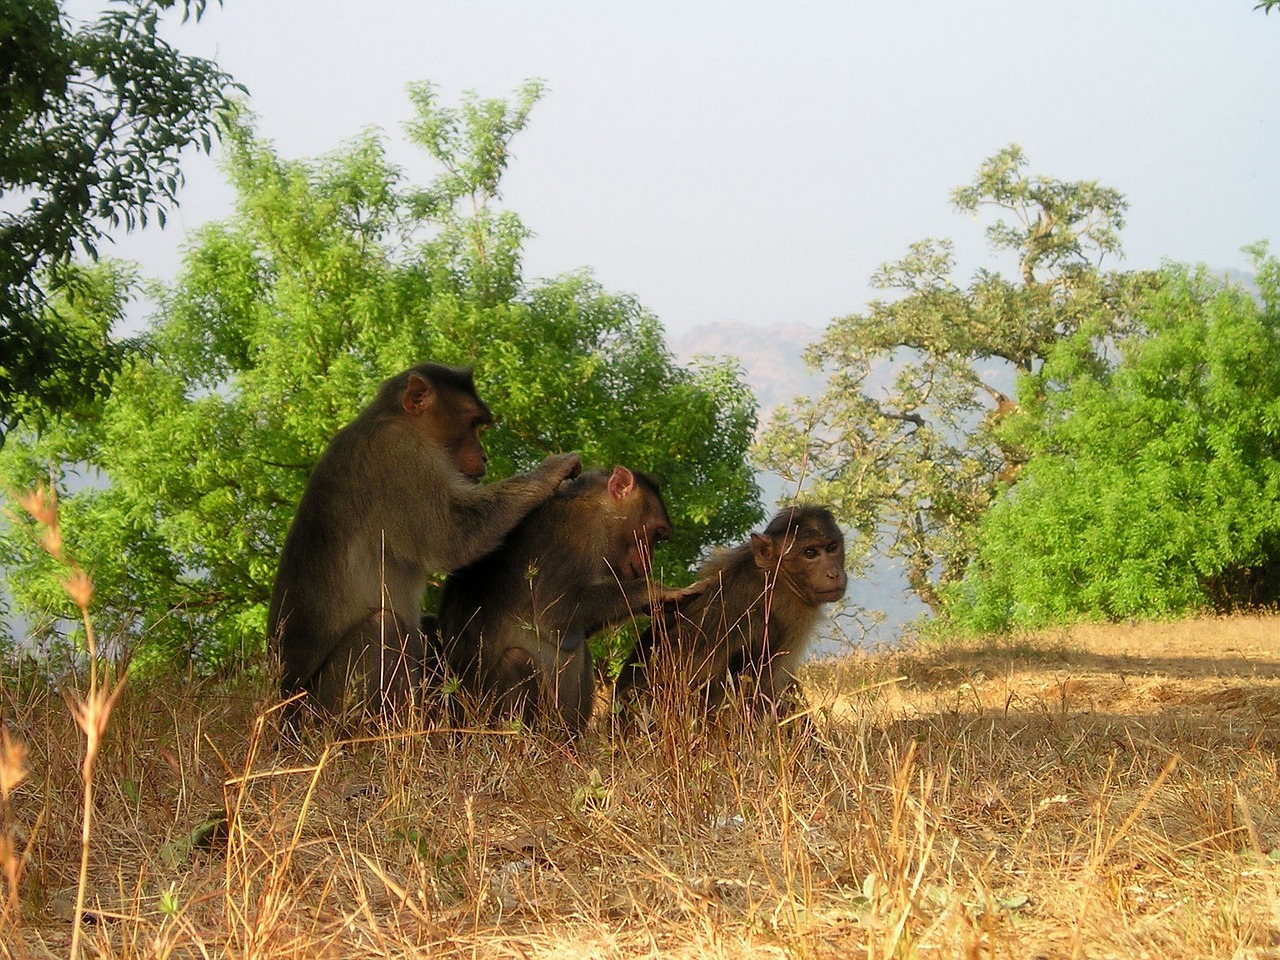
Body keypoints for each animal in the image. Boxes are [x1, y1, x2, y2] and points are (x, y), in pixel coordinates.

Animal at [270, 363, 581, 716]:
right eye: (473, 424)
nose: (484, 456)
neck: (392, 420)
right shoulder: (398, 456)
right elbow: (454, 535)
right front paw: (550, 472)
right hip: (322, 708)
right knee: (384, 627)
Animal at [440, 465, 680, 737]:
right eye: (656, 534)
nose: (648, 560)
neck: (597, 510)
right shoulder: (575, 538)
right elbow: (555, 613)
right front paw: (654, 591)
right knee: (517, 660)